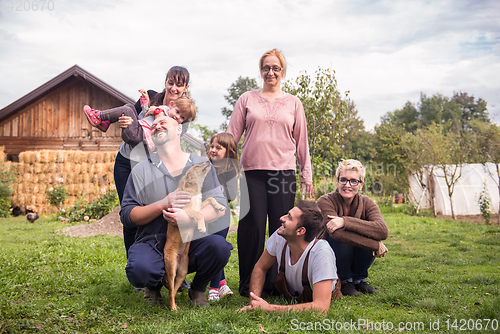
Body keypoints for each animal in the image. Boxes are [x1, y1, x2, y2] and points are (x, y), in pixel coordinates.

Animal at [163, 162, 226, 310]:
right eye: (197, 166)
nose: (208, 161)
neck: (194, 190)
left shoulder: (200, 204)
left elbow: (210, 198)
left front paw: (219, 206)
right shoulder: (185, 210)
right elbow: (199, 214)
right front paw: (202, 226)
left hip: (182, 273)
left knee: (173, 291)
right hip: (171, 269)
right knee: (170, 292)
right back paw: (173, 308)